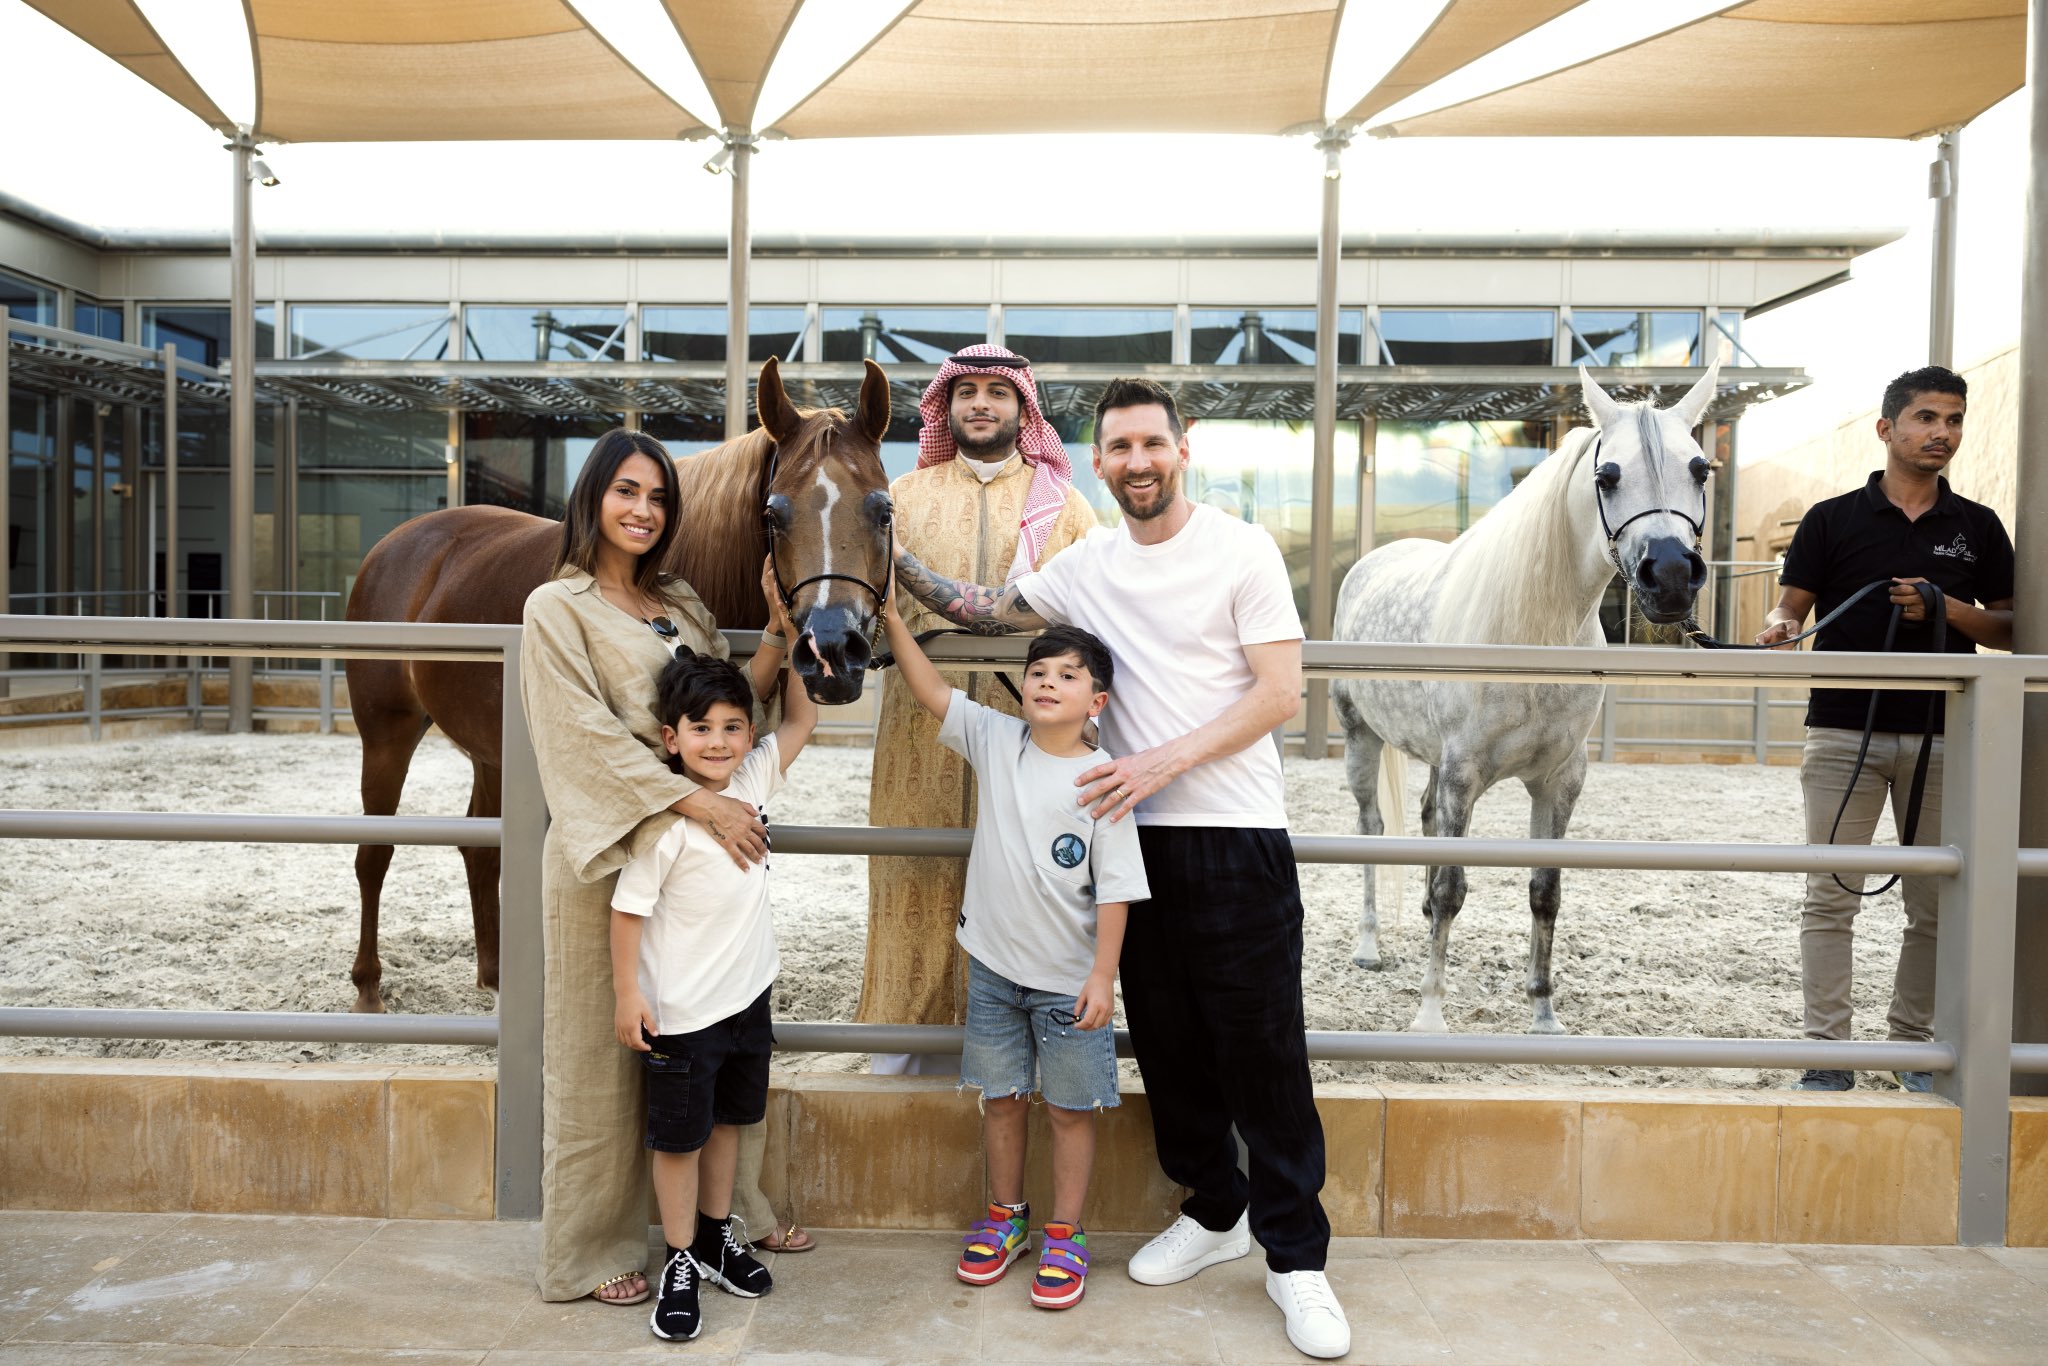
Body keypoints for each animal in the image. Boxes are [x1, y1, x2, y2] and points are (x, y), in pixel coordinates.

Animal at [342, 358, 888, 1011]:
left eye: (884, 510)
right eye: (773, 514)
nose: (831, 650)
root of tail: (393, 548)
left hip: (493, 750)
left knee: (480, 849)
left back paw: (497, 979)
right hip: (386, 733)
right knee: (375, 853)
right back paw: (369, 988)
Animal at [1335, 368, 1720, 1032]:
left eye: (1700, 469)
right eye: (1607, 476)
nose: (1670, 575)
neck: (1535, 637)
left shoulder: (1559, 781)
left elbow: (1545, 891)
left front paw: (1543, 1014)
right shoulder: (1465, 774)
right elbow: (1453, 890)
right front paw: (1429, 1016)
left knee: (1425, 818)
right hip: (1363, 738)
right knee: (1372, 827)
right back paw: (1368, 946)